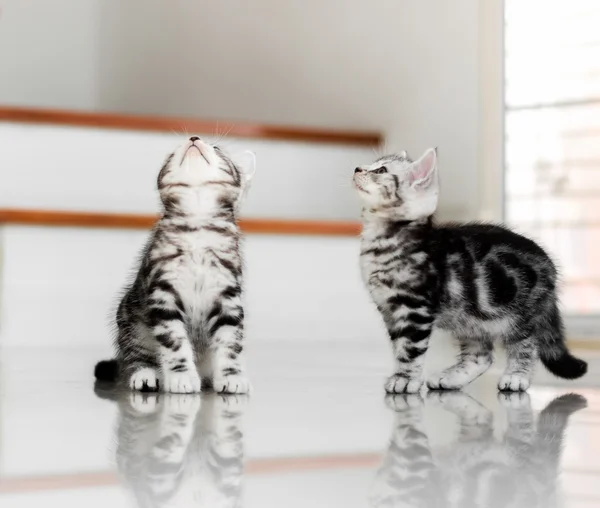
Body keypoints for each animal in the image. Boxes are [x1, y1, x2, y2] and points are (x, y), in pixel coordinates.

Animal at [95, 137, 253, 394]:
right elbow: (173, 342)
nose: (194, 138)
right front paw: (181, 377)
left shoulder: (228, 298)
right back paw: (146, 375)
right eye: (173, 152)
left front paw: (231, 376)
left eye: (217, 148)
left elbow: (230, 343)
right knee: (134, 357)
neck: (197, 226)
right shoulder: (163, 294)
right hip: (131, 321)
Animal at [354, 147, 588, 392]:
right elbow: (399, 347)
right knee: (482, 356)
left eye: (381, 170)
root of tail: (549, 266)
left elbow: (410, 348)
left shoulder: (415, 309)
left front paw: (405, 378)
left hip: (520, 317)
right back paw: (451, 377)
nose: (357, 169)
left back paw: (516, 376)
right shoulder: (388, 309)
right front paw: (402, 374)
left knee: (526, 344)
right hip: (470, 317)